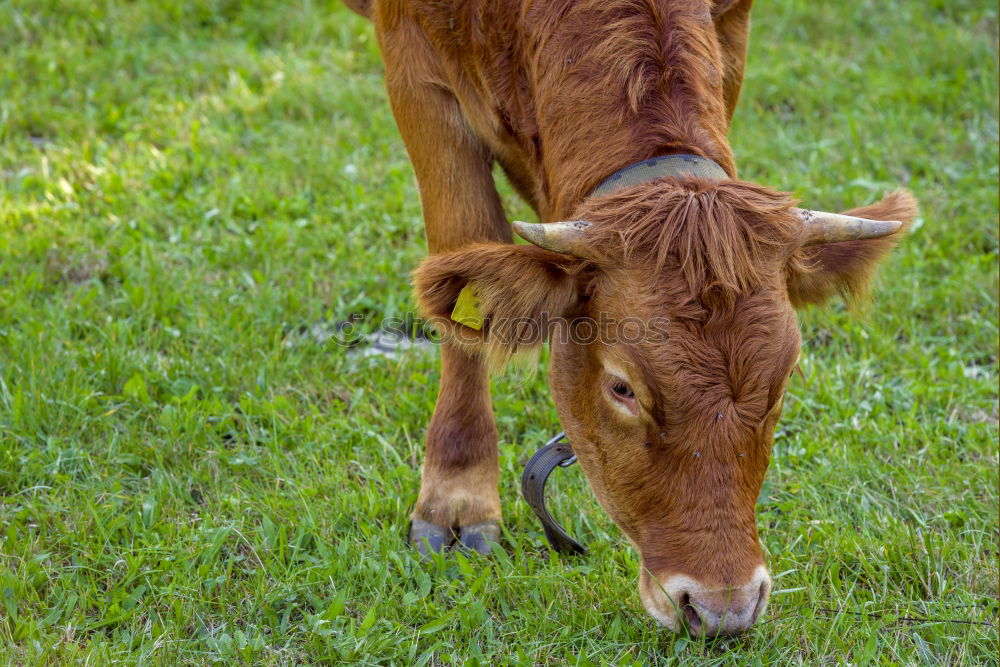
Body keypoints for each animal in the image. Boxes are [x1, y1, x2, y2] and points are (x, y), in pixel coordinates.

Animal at [348, 0, 916, 636]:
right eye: (622, 388)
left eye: (783, 381)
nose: (722, 606)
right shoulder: (415, 67)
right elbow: (463, 258)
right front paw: (455, 498)